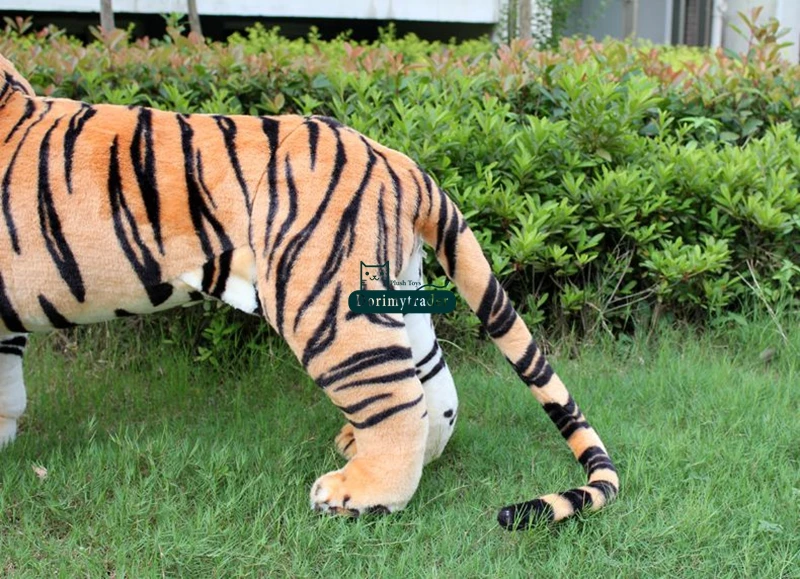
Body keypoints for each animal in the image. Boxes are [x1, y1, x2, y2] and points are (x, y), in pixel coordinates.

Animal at [0, 52, 618, 529]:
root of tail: (395, 159)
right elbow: (8, 387)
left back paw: (355, 495)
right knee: (435, 395)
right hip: (397, 293)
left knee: (398, 400)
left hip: (325, 303)